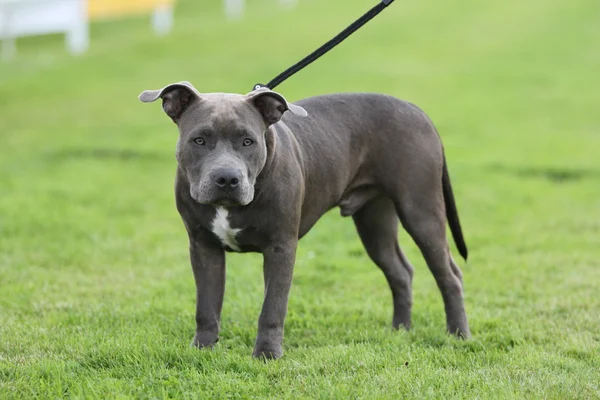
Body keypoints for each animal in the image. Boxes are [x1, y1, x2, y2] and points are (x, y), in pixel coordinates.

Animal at [139, 82, 468, 360]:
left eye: (248, 141)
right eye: (199, 140)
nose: (227, 178)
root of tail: (417, 111)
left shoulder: (280, 248)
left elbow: (272, 306)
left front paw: (267, 354)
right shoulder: (203, 248)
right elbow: (206, 306)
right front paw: (203, 349)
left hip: (421, 211)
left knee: (449, 274)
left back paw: (458, 335)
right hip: (375, 222)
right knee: (400, 271)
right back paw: (400, 329)